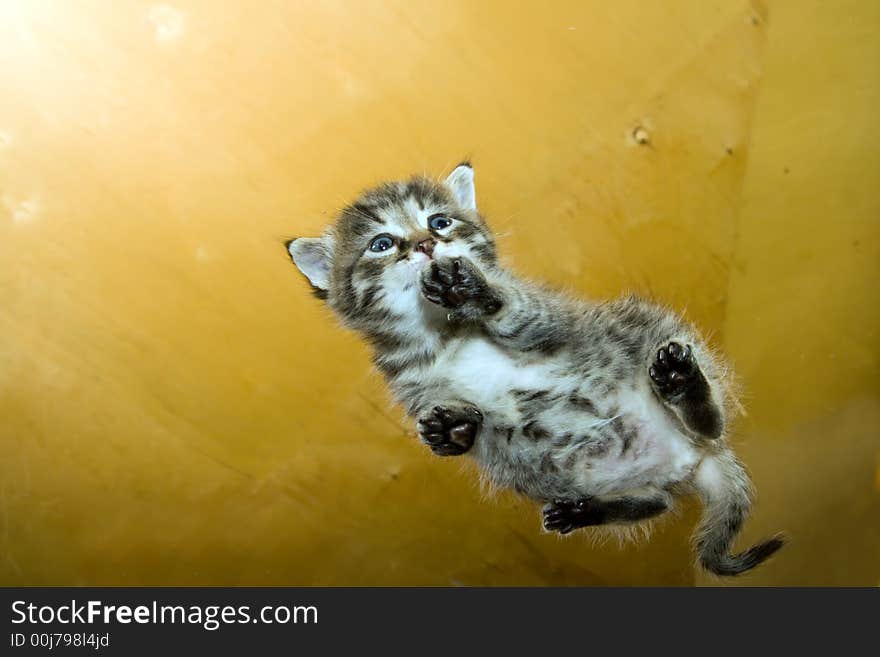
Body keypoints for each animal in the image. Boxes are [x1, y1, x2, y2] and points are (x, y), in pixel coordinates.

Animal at [288, 164, 784, 576]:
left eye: (440, 222)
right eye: (382, 244)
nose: (428, 245)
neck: (445, 337)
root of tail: (691, 460)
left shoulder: (550, 320)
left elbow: (516, 309)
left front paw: (473, 289)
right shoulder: (412, 386)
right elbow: (466, 421)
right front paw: (453, 429)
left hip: (648, 333)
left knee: (712, 422)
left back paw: (683, 384)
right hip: (536, 471)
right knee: (656, 502)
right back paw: (588, 509)